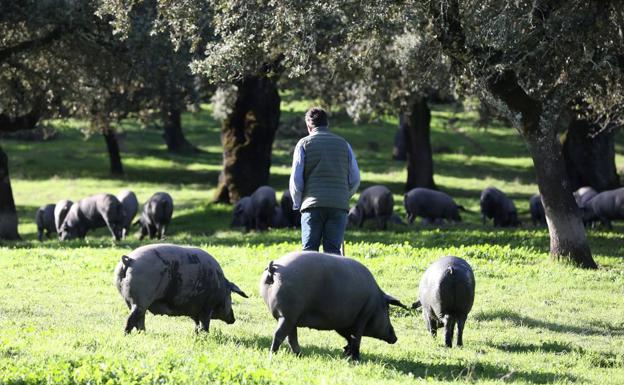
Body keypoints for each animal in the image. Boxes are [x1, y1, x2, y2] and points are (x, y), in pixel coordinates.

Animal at [114, 244, 249, 332]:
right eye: (230, 297)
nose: (233, 319)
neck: (220, 286)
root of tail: (129, 261)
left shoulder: (196, 310)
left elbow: (197, 325)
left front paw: (196, 334)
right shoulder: (206, 306)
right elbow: (204, 325)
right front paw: (205, 335)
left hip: (131, 302)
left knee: (139, 322)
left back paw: (143, 334)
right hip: (140, 301)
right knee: (131, 320)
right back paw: (126, 335)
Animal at [260, 250, 408, 358]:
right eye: (387, 309)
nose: (395, 338)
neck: (376, 303)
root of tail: (273, 268)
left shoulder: (343, 324)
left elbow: (349, 338)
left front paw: (346, 353)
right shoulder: (362, 317)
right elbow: (356, 338)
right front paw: (355, 359)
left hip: (291, 318)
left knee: (291, 338)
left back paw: (300, 355)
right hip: (288, 315)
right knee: (279, 335)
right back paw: (273, 356)